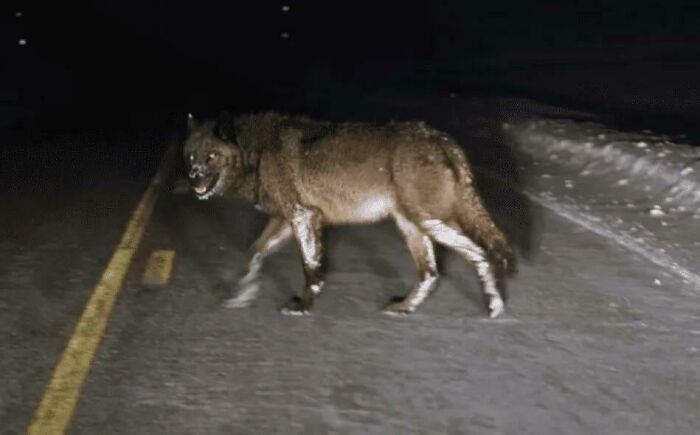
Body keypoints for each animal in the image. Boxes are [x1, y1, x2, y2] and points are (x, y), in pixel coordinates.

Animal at [183, 112, 515, 317]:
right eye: (191, 156)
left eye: (211, 156)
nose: (193, 180)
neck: (258, 152)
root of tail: (444, 141)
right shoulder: (287, 221)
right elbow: (253, 253)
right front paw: (241, 296)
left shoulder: (302, 217)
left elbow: (310, 267)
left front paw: (303, 306)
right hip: (413, 226)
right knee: (430, 273)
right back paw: (404, 308)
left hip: (429, 223)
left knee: (478, 254)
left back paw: (495, 307)